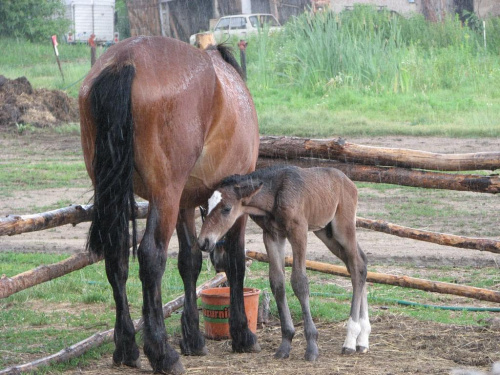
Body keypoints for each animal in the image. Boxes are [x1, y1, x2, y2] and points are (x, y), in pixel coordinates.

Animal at [79, 36, 258, 375]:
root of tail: (125, 60)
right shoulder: (235, 204)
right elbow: (237, 262)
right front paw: (242, 333)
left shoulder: (185, 204)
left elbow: (189, 262)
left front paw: (193, 338)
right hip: (165, 196)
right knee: (151, 257)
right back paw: (162, 352)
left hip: (124, 196)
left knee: (116, 259)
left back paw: (127, 347)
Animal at [197, 167, 370, 362]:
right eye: (206, 207)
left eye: (227, 209)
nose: (203, 241)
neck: (274, 195)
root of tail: (350, 183)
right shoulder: (272, 235)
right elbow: (277, 283)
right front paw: (285, 344)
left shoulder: (299, 231)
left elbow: (299, 282)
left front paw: (312, 347)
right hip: (326, 232)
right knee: (359, 264)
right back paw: (362, 340)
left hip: (343, 228)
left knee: (357, 266)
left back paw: (350, 340)